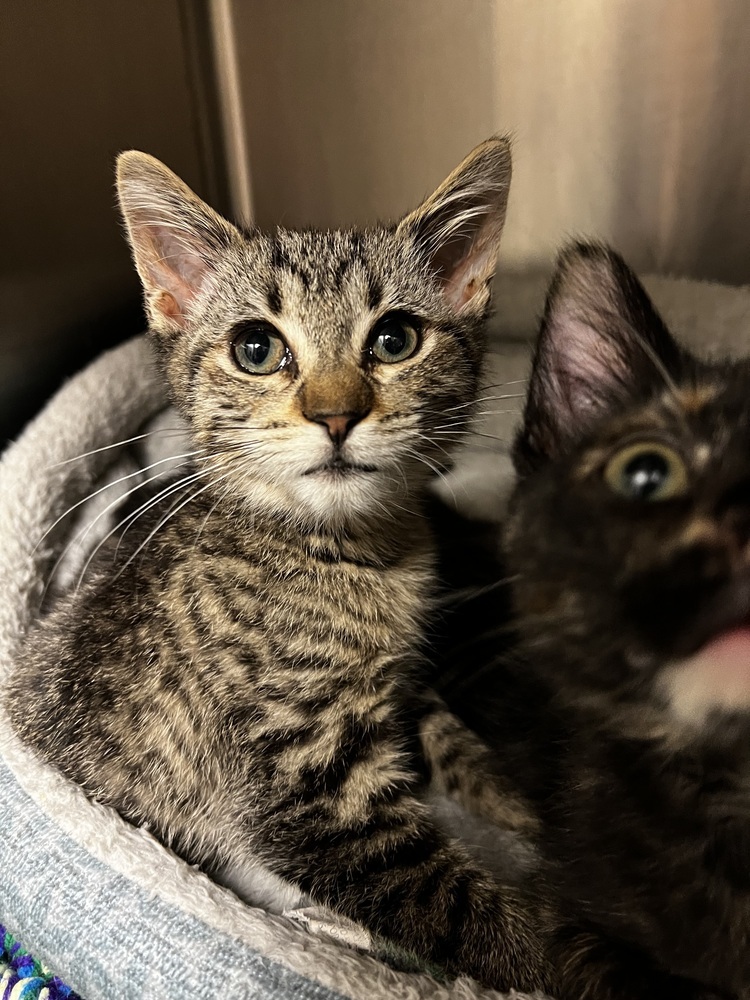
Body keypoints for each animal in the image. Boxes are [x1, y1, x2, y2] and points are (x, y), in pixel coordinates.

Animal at [8, 139, 556, 992]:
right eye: (256, 349)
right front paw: (610, 959)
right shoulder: (309, 791)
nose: (336, 415)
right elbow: (468, 910)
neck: (351, 550)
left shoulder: (401, 683)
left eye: (395, 339)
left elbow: (458, 742)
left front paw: (531, 806)